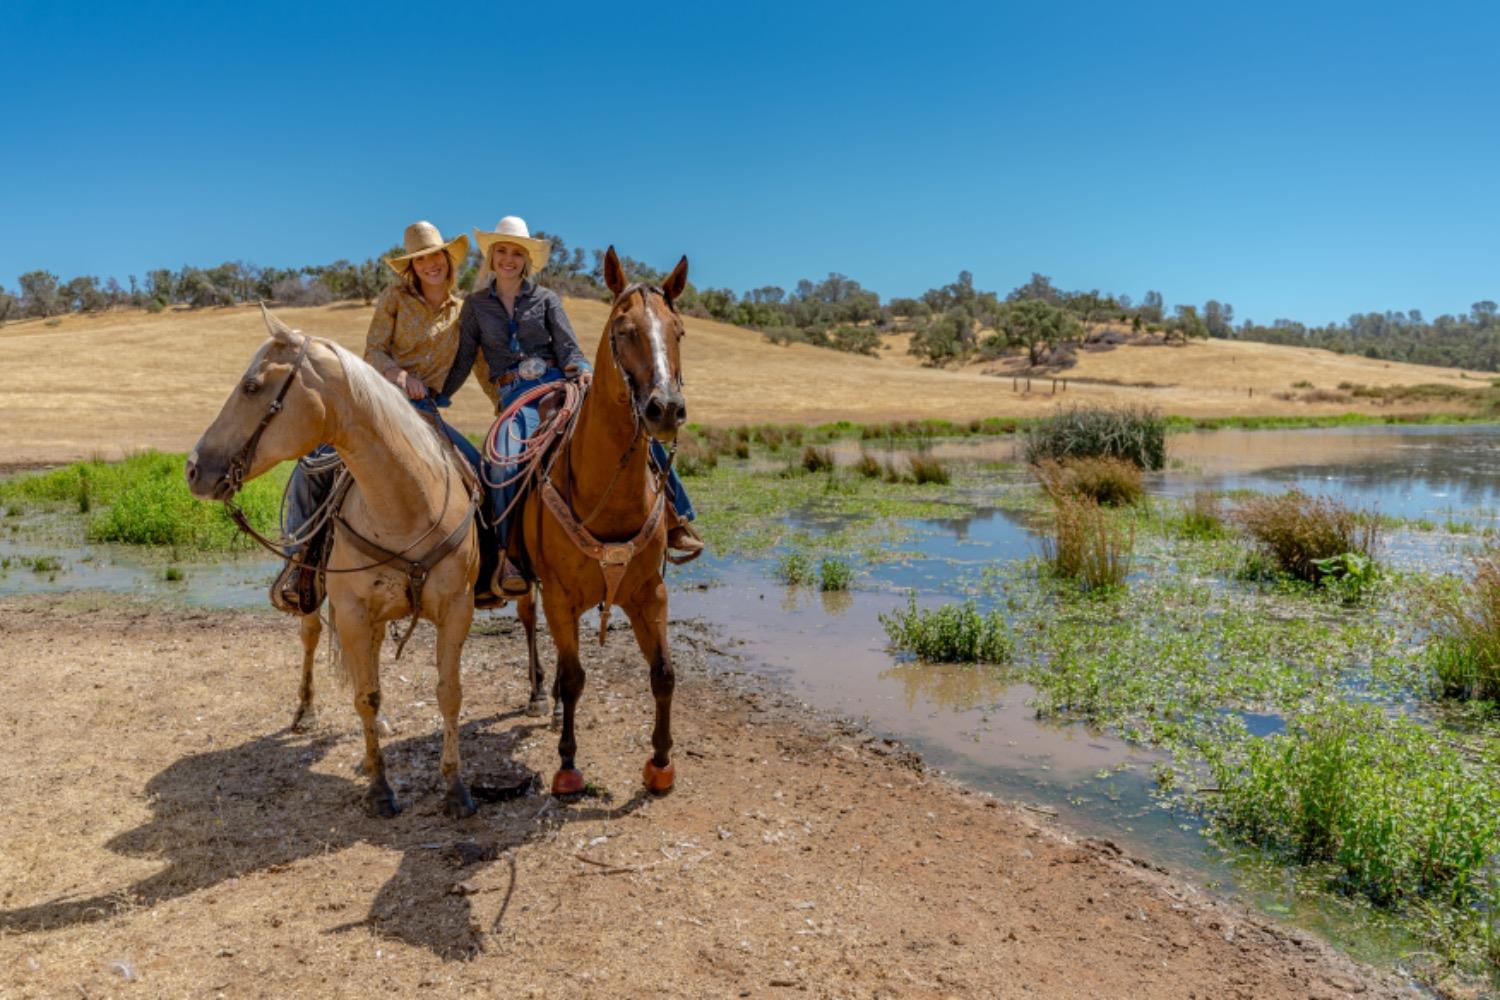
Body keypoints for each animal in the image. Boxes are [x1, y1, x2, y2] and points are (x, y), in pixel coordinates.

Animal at [184, 307, 483, 821]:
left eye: (251, 386)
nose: (192, 468)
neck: (406, 505)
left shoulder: (455, 610)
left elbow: (449, 692)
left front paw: (455, 788)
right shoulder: (353, 612)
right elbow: (365, 696)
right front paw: (380, 789)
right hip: (312, 591)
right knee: (310, 637)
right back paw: (305, 712)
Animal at [510, 248, 687, 797]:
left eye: (678, 331)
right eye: (623, 329)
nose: (666, 408)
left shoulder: (649, 593)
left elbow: (663, 673)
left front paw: (661, 762)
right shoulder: (560, 597)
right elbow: (574, 679)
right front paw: (567, 764)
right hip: (531, 588)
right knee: (531, 626)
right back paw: (537, 695)